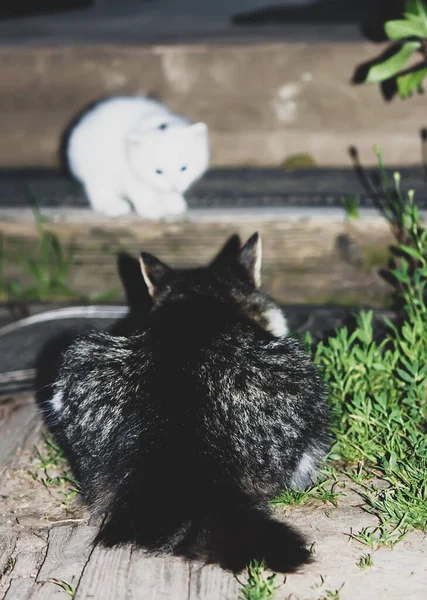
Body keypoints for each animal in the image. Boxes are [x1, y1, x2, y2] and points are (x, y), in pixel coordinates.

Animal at [65, 97, 211, 219]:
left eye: (184, 168)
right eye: (158, 171)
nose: (173, 187)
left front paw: (174, 204)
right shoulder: (131, 179)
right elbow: (143, 194)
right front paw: (152, 210)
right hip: (96, 174)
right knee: (99, 193)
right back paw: (114, 207)